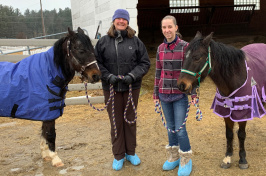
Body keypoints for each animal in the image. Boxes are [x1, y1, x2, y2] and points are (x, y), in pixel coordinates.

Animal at [0, 27, 101, 166]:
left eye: (92, 49)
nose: (96, 76)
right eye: (81, 50)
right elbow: (50, 134)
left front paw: (45, 155)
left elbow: (44, 133)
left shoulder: (45, 113)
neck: (48, 72)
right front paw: (55, 159)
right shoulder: (48, 112)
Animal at [178, 31, 266, 169]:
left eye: (197, 57)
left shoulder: (242, 111)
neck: (235, 77)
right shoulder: (225, 111)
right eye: (184, 57)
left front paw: (242, 159)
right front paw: (227, 158)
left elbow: (241, 134)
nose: (181, 85)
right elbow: (229, 134)